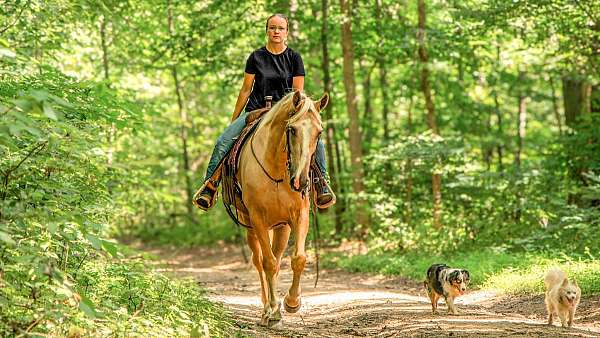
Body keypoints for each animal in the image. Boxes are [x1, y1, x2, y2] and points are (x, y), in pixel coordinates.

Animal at [236, 90, 328, 328]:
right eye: (292, 129)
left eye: (319, 132)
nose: (301, 181)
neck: (277, 170)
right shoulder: (258, 219)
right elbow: (267, 263)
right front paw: (273, 311)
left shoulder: (299, 216)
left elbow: (298, 259)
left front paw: (292, 302)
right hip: (250, 227)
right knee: (260, 261)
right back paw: (266, 307)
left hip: (281, 228)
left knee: (277, 259)